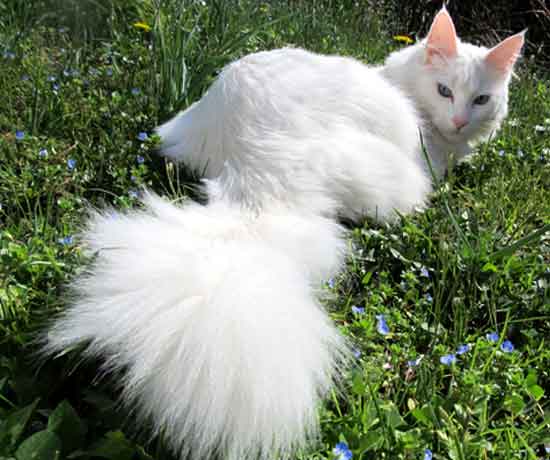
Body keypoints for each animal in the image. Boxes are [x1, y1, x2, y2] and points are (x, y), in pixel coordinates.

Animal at [44, 9, 528, 460]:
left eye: (481, 99)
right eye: (445, 91)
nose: (460, 121)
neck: (402, 82)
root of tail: (256, 170)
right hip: (397, 182)